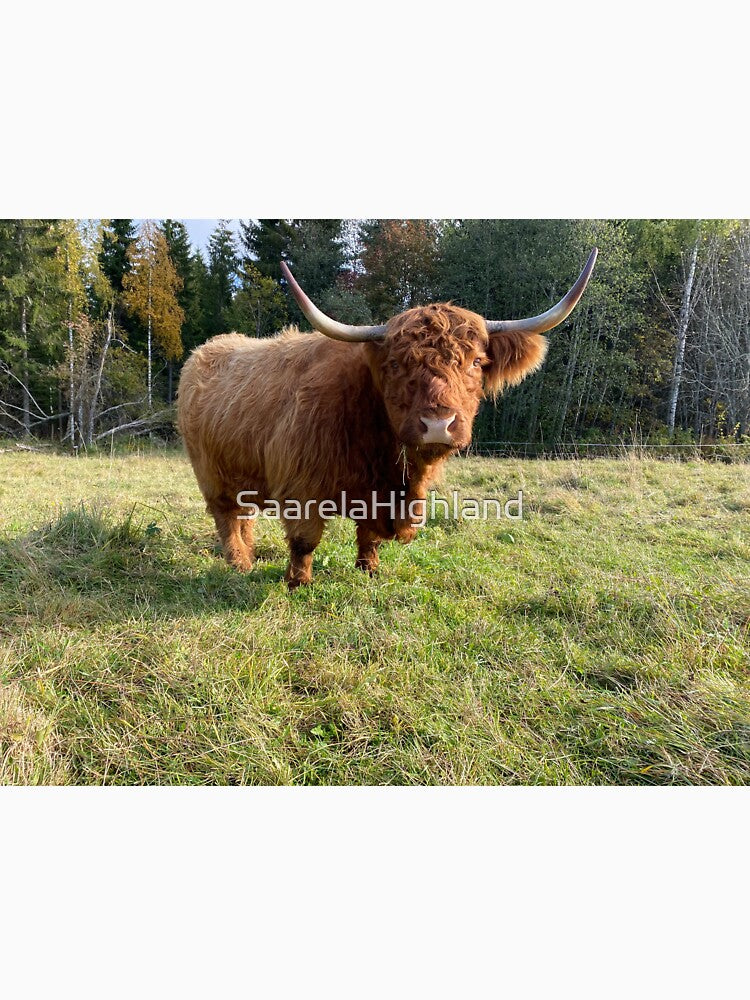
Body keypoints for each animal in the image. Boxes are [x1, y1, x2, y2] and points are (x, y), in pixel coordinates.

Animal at [177, 249, 597, 587]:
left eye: (477, 362)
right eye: (395, 364)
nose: (438, 425)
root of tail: (205, 350)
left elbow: (369, 536)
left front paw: (370, 570)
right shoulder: (302, 484)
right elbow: (304, 540)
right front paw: (298, 583)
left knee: (244, 516)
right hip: (210, 474)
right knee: (227, 517)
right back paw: (240, 564)